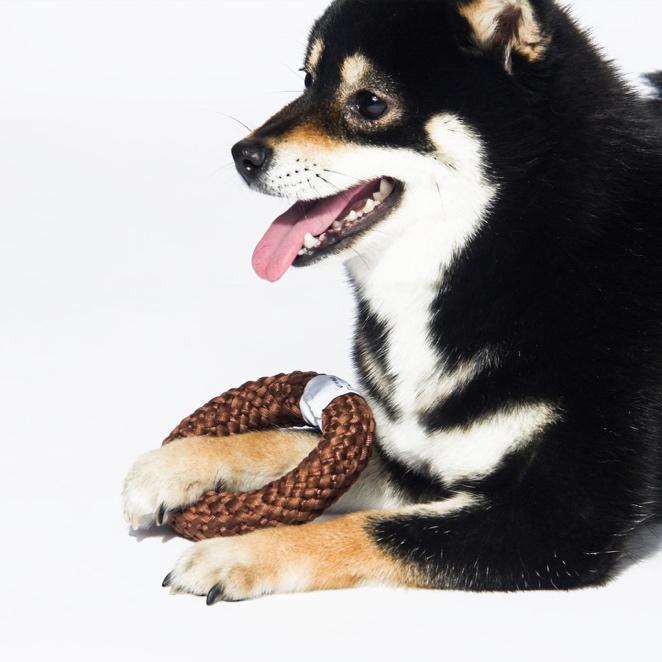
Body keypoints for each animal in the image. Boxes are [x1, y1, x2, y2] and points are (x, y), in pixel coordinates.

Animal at [123, 0, 662, 602]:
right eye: (309, 81)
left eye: (371, 103)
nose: (244, 154)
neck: (522, 254)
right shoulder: (419, 457)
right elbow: (297, 443)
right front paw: (178, 465)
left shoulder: (559, 518)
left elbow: (365, 529)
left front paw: (238, 553)